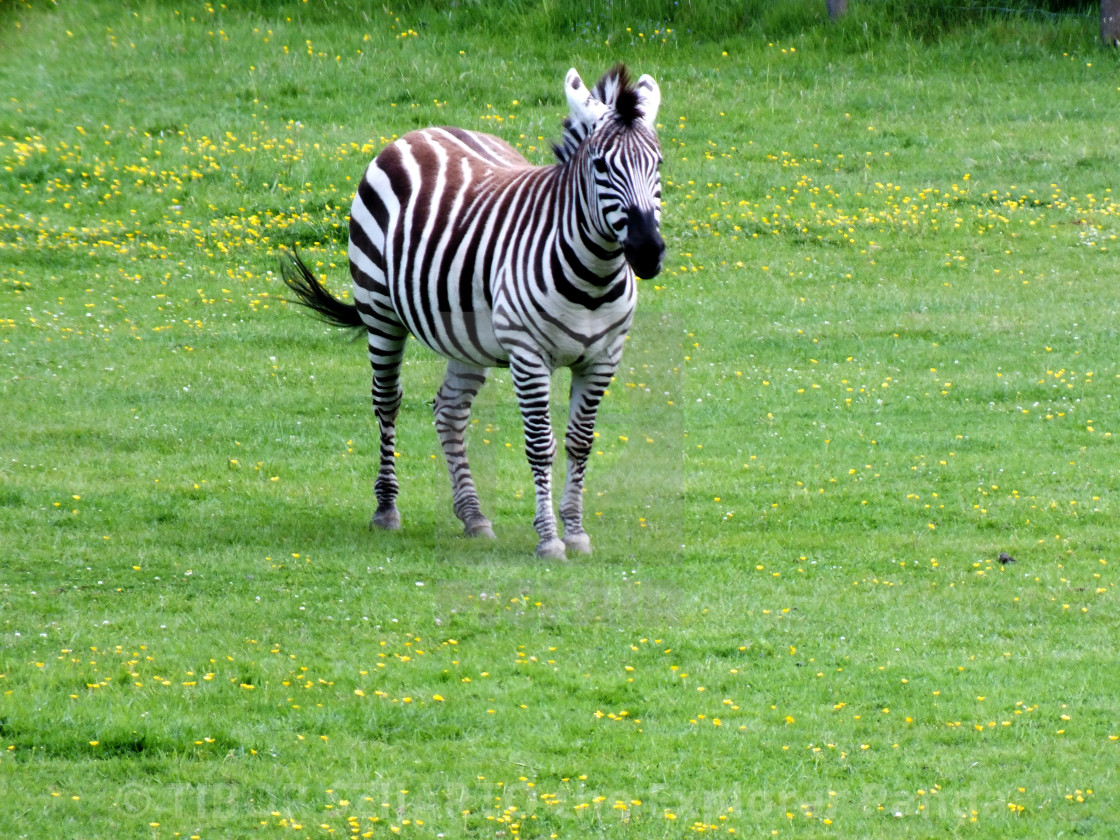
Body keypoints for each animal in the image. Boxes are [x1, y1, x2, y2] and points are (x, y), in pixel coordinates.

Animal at [282, 65, 663, 560]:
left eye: (658, 164)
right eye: (600, 165)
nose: (648, 251)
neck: (592, 280)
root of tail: (422, 131)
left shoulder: (603, 358)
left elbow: (580, 443)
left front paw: (576, 532)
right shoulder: (528, 355)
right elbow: (540, 445)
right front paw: (549, 539)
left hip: (466, 335)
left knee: (449, 411)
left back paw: (474, 516)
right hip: (381, 309)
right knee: (387, 402)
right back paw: (386, 509)